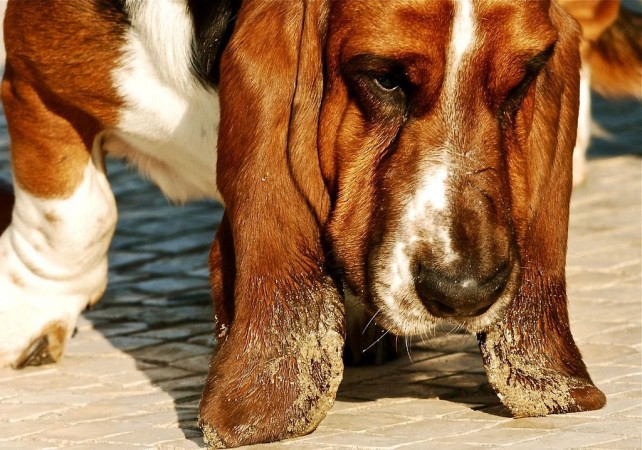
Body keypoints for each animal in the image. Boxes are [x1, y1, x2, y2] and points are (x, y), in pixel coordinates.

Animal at [0, 1, 636, 448]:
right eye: (384, 78)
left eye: (522, 81)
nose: (465, 293)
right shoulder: (33, 81)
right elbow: (75, 214)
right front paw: (27, 315)